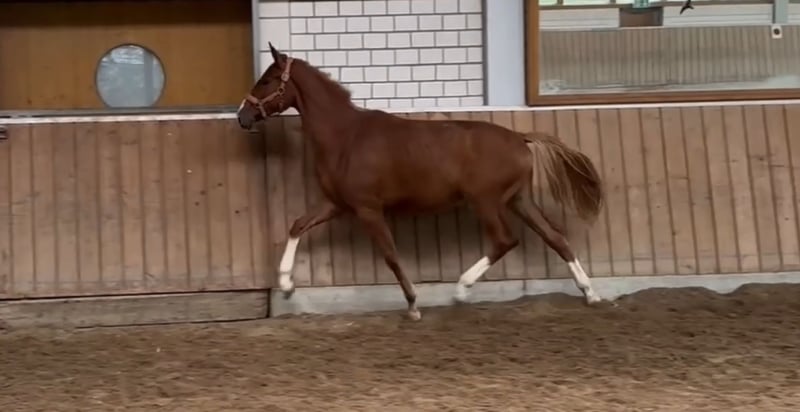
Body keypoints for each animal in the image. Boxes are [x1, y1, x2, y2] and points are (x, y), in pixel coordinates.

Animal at [236, 43, 607, 321]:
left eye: (267, 80)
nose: (243, 116)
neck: (346, 137)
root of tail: (520, 138)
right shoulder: (336, 204)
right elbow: (297, 225)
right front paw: (286, 286)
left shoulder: (368, 209)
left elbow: (390, 255)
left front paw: (414, 304)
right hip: (519, 200)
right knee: (556, 238)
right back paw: (590, 293)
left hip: (486, 201)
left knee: (505, 240)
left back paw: (461, 289)